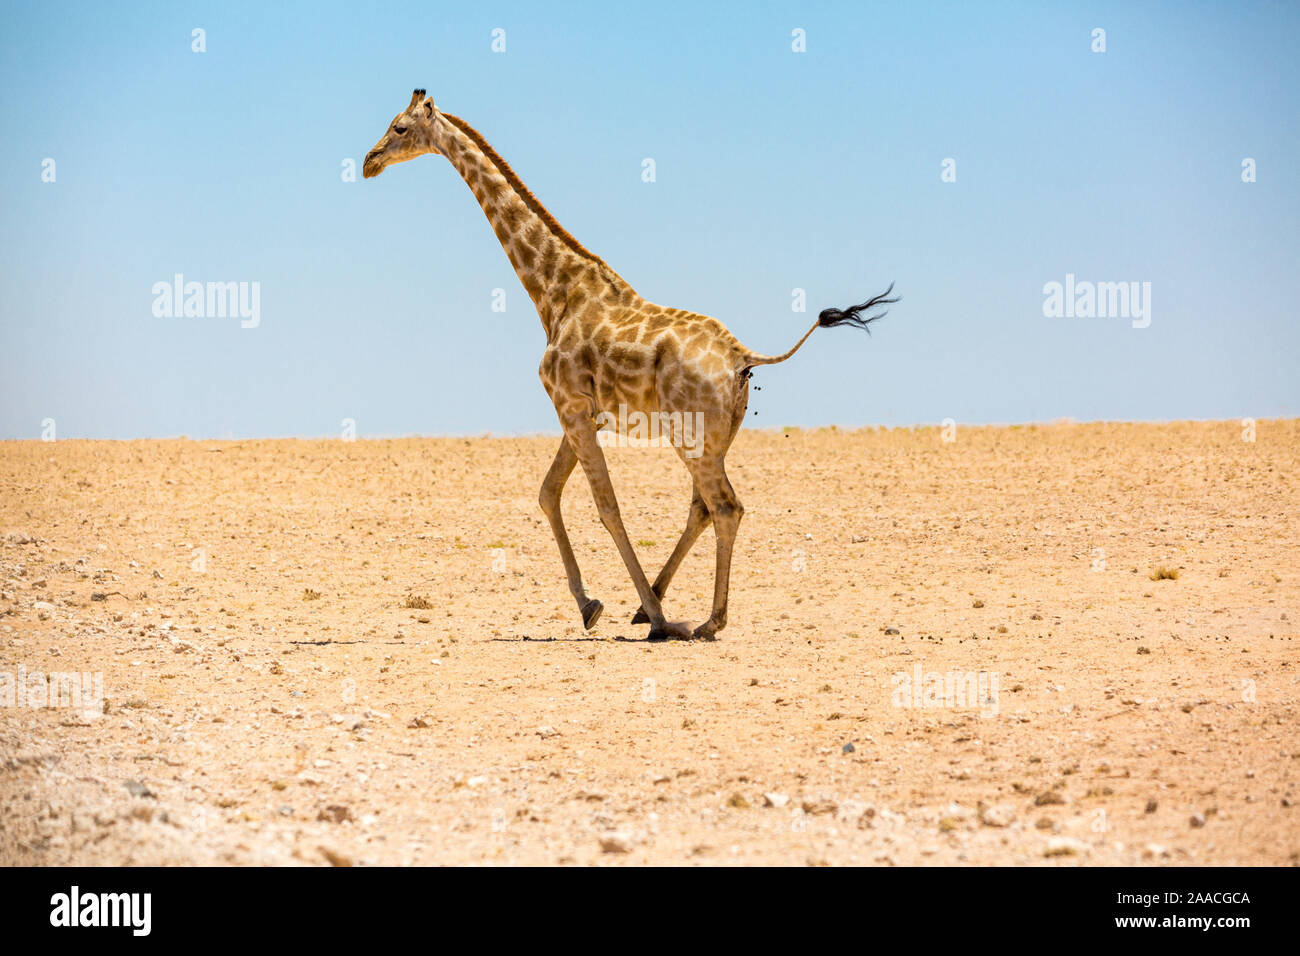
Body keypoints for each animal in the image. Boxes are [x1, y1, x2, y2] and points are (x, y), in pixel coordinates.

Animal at [361, 91, 899, 642]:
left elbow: (606, 507)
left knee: (726, 507)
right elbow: (549, 493)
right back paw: (660, 608)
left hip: (690, 435)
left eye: (399, 128)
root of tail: (742, 356)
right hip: (717, 436)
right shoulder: (584, 412)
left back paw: (705, 621)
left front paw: (653, 618)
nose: (368, 162)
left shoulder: (570, 407)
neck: (554, 293)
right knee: (702, 508)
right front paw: (593, 606)